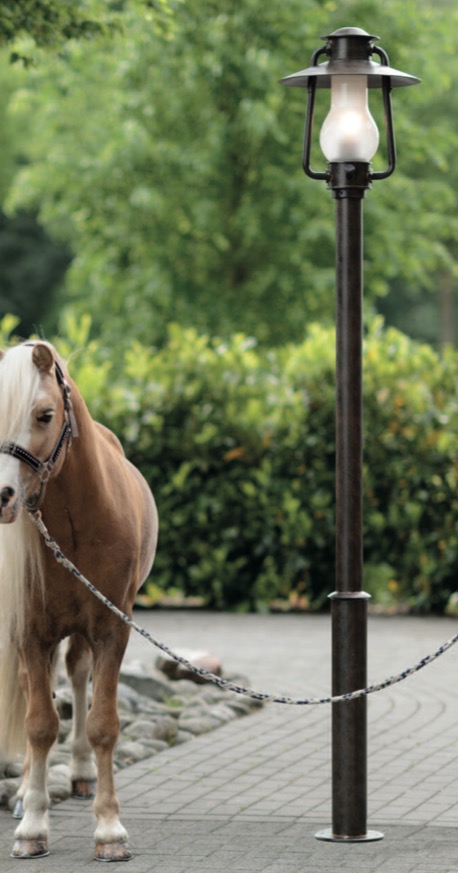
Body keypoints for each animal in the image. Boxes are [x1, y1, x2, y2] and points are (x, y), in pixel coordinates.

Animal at [0, 340, 158, 860]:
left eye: (45, 414)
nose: (2, 496)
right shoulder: (29, 632)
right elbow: (39, 724)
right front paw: (32, 826)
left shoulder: (112, 628)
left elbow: (103, 723)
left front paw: (109, 831)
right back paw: (25, 793)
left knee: (77, 675)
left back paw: (83, 775)